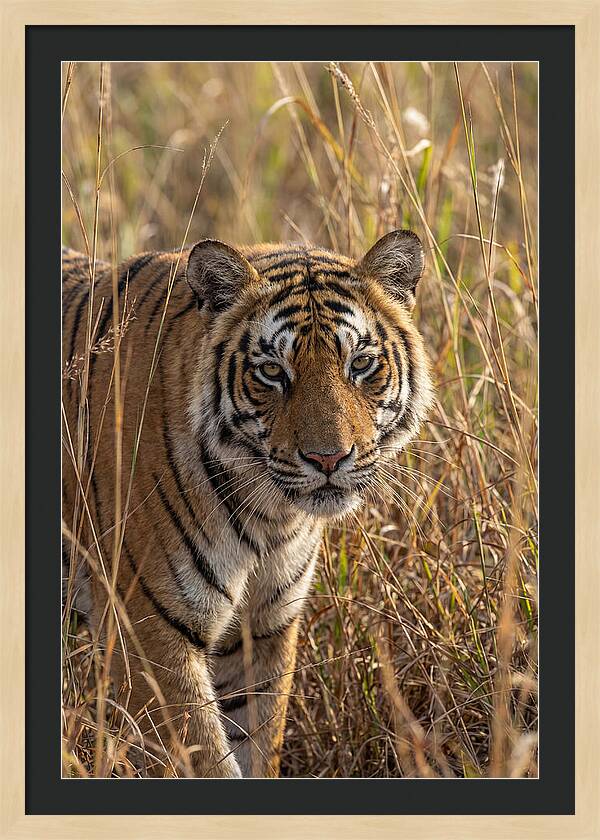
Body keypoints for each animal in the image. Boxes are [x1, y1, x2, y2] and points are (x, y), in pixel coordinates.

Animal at [62, 229, 433, 778]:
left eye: (361, 364)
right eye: (272, 371)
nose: (328, 458)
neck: (270, 517)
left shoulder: (264, 626)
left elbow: (257, 741)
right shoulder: (149, 632)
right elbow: (204, 758)